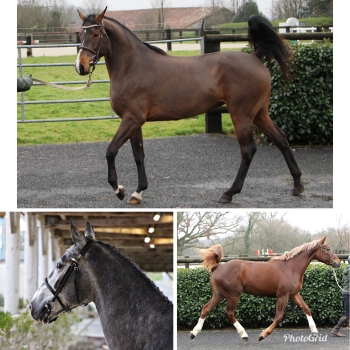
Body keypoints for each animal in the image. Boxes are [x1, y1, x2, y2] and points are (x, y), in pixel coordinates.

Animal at [74, 6, 304, 205]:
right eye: (80, 35)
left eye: (96, 34)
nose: (81, 66)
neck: (133, 66)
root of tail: (255, 58)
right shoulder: (133, 122)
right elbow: (138, 155)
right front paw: (137, 193)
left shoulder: (131, 119)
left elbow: (111, 151)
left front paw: (119, 190)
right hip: (259, 114)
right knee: (281, 139)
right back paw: (297, 185)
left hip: (242, 115)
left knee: (248, 150)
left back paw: (229, 193)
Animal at [190, 237, 340, 340]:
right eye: (327, 249)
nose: (338, 262)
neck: (290, 268)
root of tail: (217, 267)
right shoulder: (283, 296)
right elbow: (279, 317)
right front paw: (262, 335)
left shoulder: (294, 294)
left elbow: (306, 308)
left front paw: (314, 331)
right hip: (233, 295)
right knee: (229, 313)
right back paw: (244, 334)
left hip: (219, 294)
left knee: (206, 308)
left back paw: (193, 333)